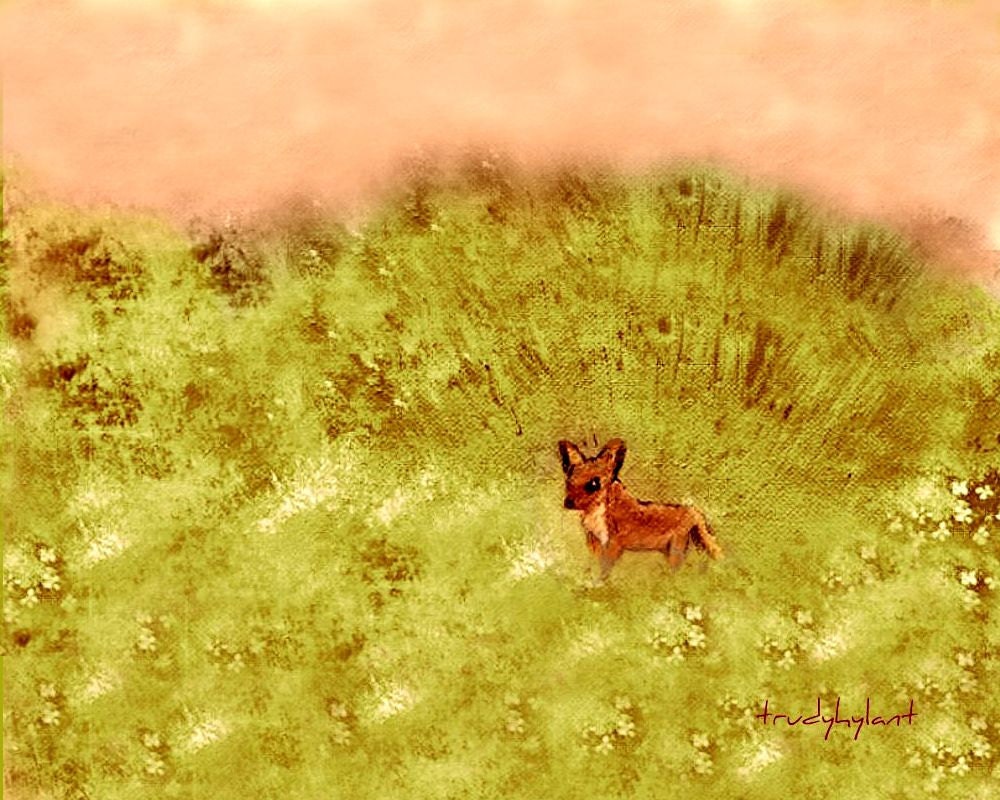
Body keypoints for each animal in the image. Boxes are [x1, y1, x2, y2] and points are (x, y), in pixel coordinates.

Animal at [558, 438, 723, 580]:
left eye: (594, 484)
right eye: (569, 482)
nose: (568, 502)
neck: (596, 515)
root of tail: (692, 511)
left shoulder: (613, 543)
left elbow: (605, 568)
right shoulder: (596, 542)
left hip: (676, 550)